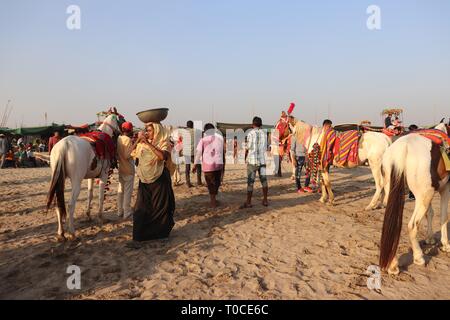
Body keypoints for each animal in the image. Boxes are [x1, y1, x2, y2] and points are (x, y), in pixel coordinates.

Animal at [46, 109, 123, 240]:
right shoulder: (104, 176)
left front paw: (88, 215)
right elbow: (101, 196)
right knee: (70, 205)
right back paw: (72, 232)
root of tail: (63, 146)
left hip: (58, 179)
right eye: (122, 119)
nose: (131, 131)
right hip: (76, 181)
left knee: (58, 204)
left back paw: (61, 233)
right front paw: (100, 217)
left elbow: (90, 195)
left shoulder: (90, 177)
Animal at [380, 122, 450, 276]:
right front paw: (446, 244)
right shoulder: (444, 189)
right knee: (412, 225)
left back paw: (392, 264)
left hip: (395, 192)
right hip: (424, 195)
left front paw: (430, 239)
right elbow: (444, 217)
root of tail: (402, 148)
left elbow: (430, 213)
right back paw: (418, 257)